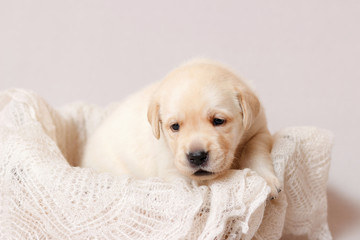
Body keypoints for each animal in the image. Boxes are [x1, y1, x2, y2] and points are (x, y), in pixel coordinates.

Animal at [82, 59, 282, 198]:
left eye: (218, 121)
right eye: (175, 126)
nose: (197, 156)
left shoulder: (258, 130)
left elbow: (254, 151)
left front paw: (266, 179)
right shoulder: (168, 159)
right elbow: (182, 182)